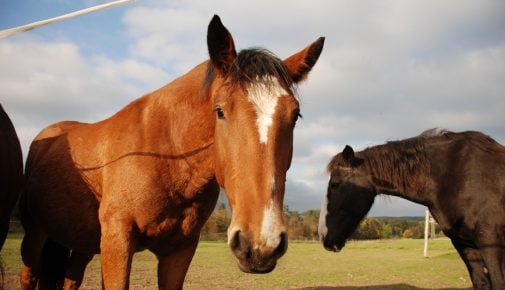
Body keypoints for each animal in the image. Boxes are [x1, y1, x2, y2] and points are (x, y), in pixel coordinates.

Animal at [19, 16, 322, 290]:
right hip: (36, 234)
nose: (260, 244)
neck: (166, 157)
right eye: (220, 111)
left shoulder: (180, 251)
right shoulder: (117, 240)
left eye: (295, 116)